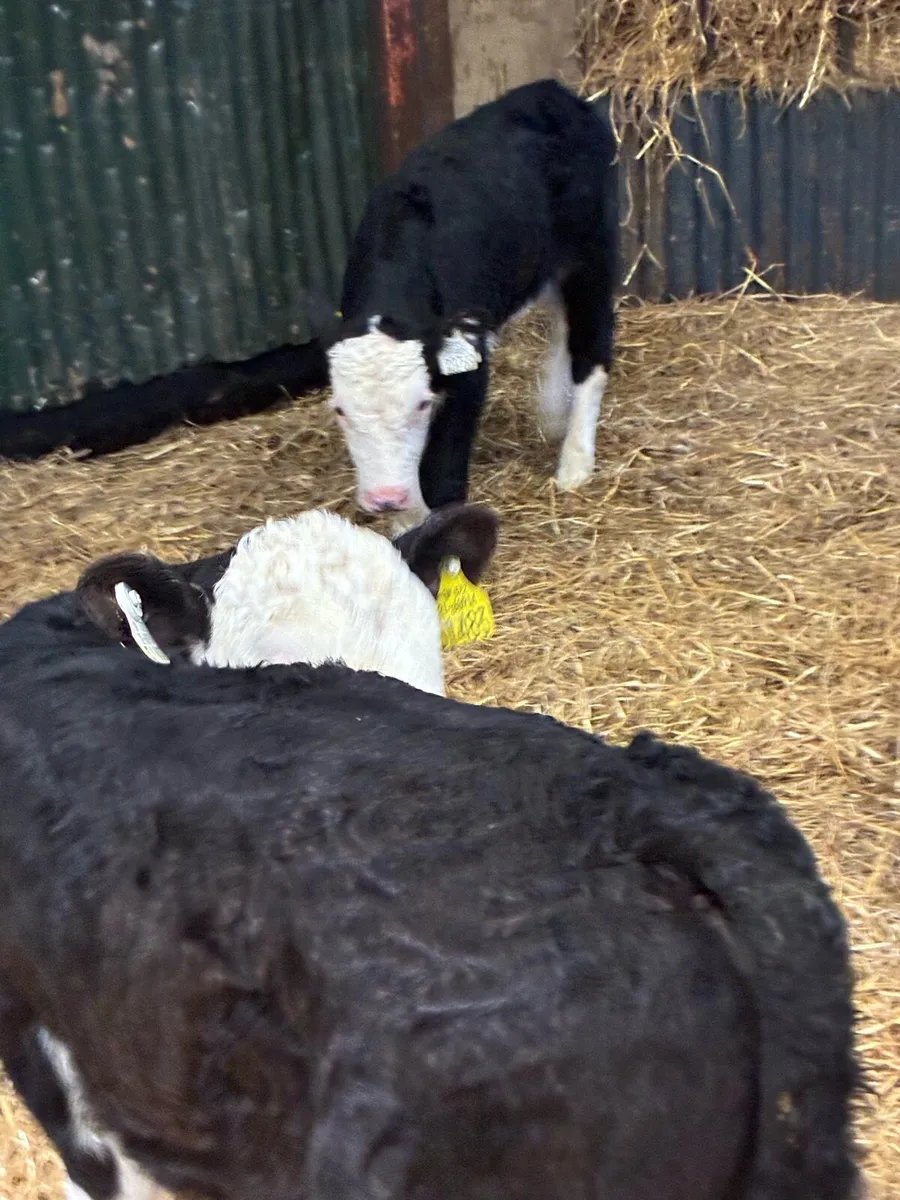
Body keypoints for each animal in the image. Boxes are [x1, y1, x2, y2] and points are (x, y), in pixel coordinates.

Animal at [326, 79, 619, 528]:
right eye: (340, 410)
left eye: (422, 403)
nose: (385, 497)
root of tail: (553, 91)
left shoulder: (468, 365)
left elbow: (444, 472)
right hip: (539, 260)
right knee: (562, 323)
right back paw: (553, 412)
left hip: (592, 256)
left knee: (591, 345)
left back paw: (575, 464)